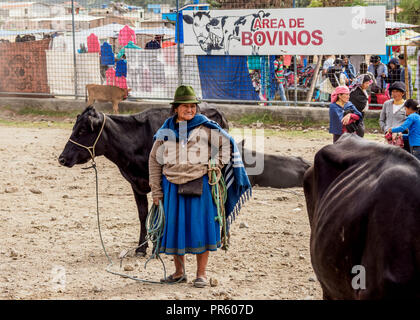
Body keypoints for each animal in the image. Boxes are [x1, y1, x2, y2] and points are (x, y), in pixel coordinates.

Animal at [57, 106, 228, 256]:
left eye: (82, 130)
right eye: (74, 128)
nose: (62, 158)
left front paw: (157, 245)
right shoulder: (136, 184)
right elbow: (143, 214)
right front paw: (141, 247)